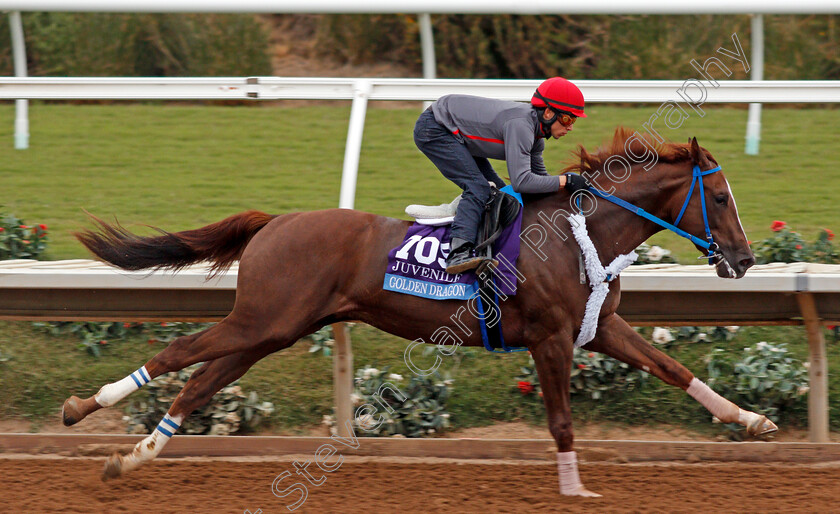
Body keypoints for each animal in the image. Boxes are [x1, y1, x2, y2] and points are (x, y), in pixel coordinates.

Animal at [62, 129, 776, 496]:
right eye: (718, 196)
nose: (743, 259)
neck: (582, 234)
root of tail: (276, 222)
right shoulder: (549, 337)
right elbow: (562, 422)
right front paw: (575, 491)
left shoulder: (596, 328)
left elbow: (672, 367)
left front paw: (752, 420)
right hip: (263, 319)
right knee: (178, 354)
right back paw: (84, 407)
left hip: (275, 328)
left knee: (204, 380)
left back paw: (134, 457)